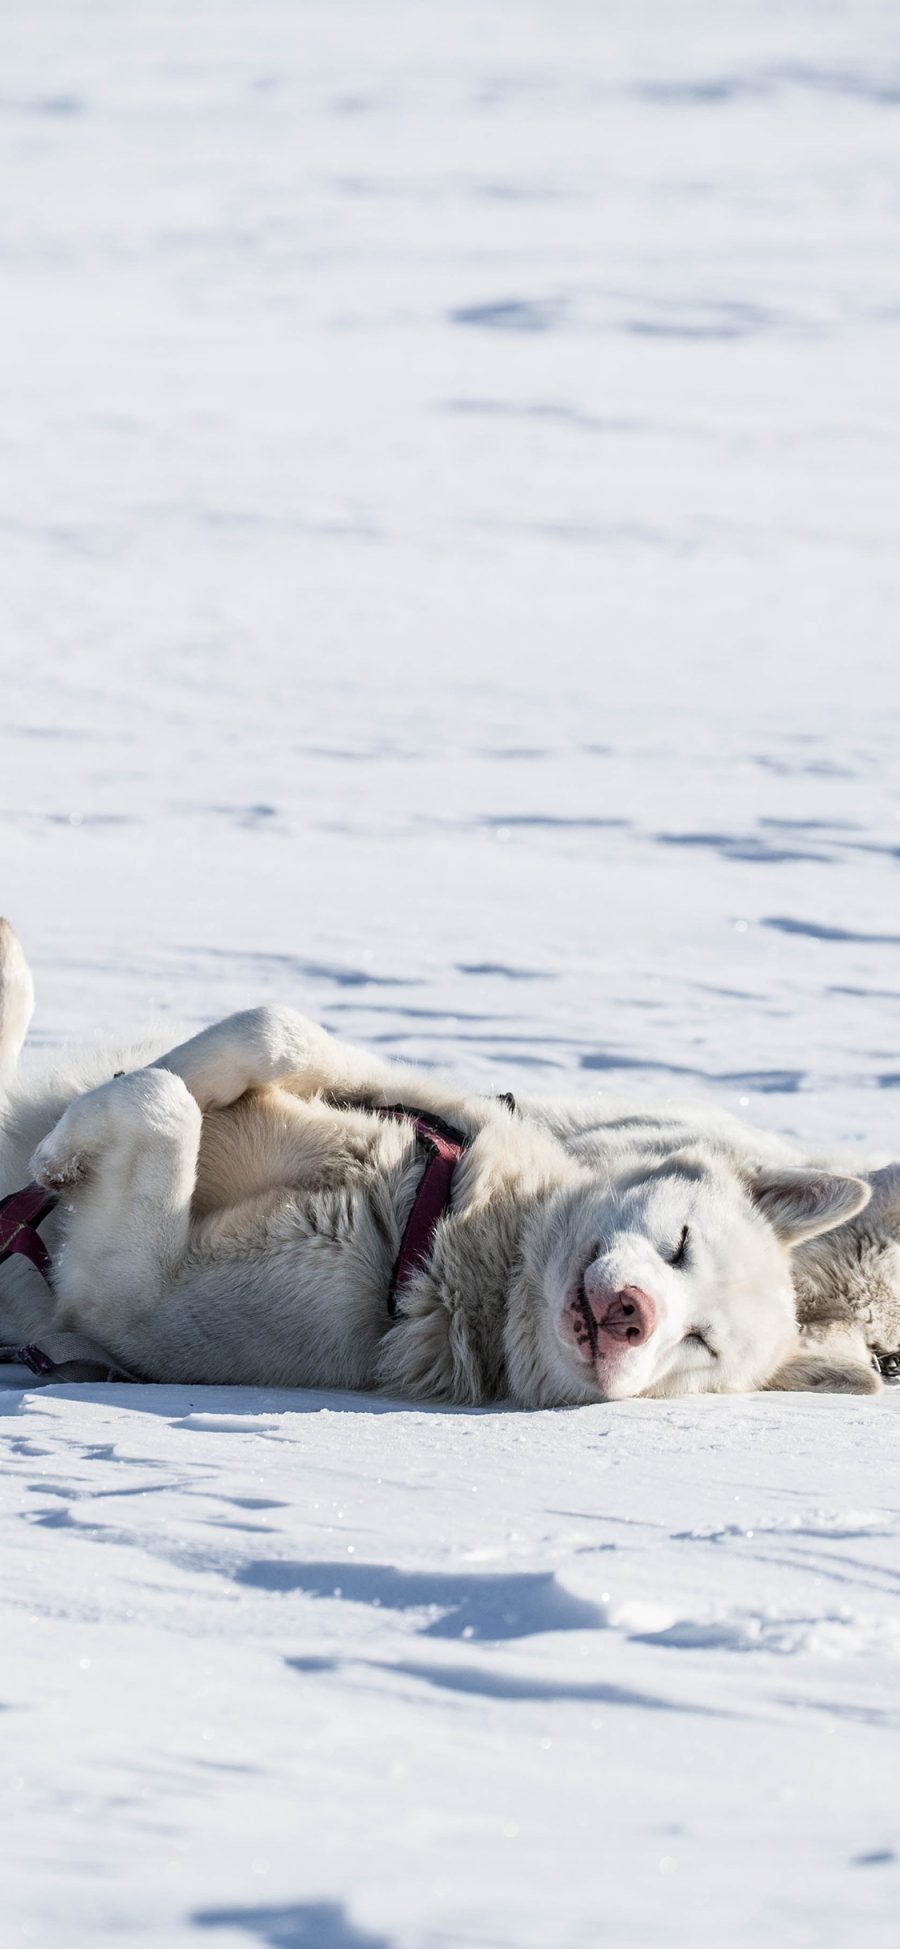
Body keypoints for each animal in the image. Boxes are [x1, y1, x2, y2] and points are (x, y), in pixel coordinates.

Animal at [0, 916, 884, 1403]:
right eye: (683, 1243)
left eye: (700, 1345)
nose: (636, 1314)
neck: (435, 1228)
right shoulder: (408, 1101)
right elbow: (274, 1029)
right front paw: (112, 1101)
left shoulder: (129, 1296)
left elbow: (166, 1111)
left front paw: (65, 1154)